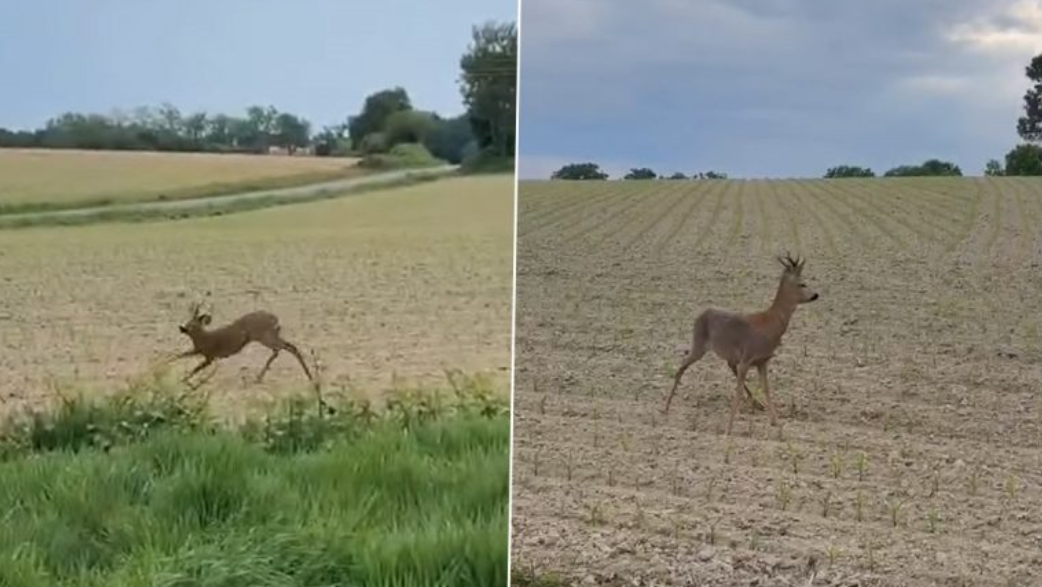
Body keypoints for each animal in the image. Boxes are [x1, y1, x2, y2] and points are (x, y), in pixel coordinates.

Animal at [172, 300, 314, 389]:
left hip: (264, 336)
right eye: (188, 322)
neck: (203, 339)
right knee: (284, 348)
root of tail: (275, 319)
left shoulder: (210, 356)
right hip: (270, 335)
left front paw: (184, 380)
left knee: (285, 348)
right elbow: (177, 355)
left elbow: (195, 369)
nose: (182, 328)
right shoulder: (198, 351)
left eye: (193, 325)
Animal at [662, 254, 819, 435]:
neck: (771, 324)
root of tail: (701, 314)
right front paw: (729, 427)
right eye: (802, 283)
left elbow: (766, 388)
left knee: (727, 366)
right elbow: (738, 391)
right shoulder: (747, 357)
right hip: (699, 343)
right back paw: (666, 407)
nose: (815, 295)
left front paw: (775, 422)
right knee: (682, 366)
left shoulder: (763, 360)